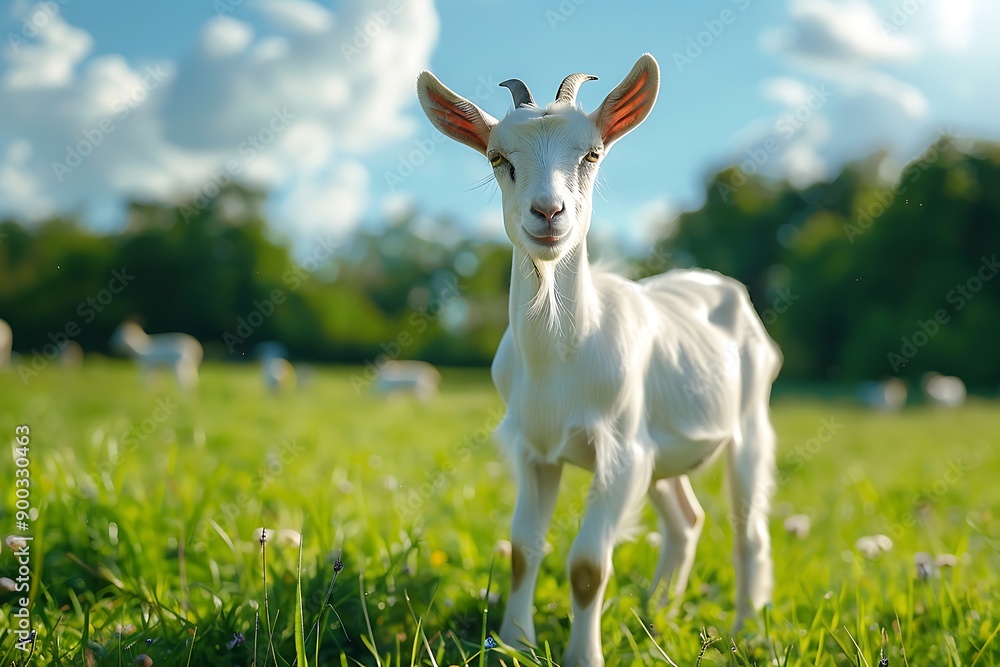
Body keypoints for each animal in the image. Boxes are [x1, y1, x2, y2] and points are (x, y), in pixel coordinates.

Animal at [418, 53, 784, 667]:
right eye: (498, 158)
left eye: (591, 154)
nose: (548, 212)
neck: (557, 360)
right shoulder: (536, 450)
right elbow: (522, 549)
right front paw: (514, 643)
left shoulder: (620, 453)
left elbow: (588, 566)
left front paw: (581, 656)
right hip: (659, 449)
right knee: (686, 521)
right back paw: (657, 615)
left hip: (748, 424)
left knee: (748, 530)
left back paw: (746, 629)